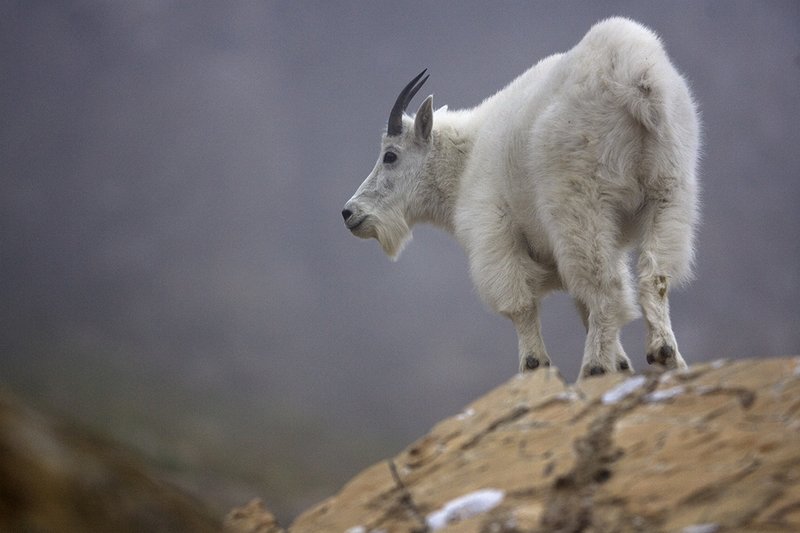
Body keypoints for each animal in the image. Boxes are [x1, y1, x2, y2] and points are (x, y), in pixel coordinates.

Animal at [342, 17, 700, 378]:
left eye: (390, 156)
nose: (350, 213)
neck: (463, 162)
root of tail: (633, 72)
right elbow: (579, 304)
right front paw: (622, 365)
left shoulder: (495, 235)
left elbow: (520, 305)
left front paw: (535, 364)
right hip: (669, 188)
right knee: (655, 273)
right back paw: (665, 354)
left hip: (580, 202)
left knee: (606, 285)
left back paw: (595, 366)